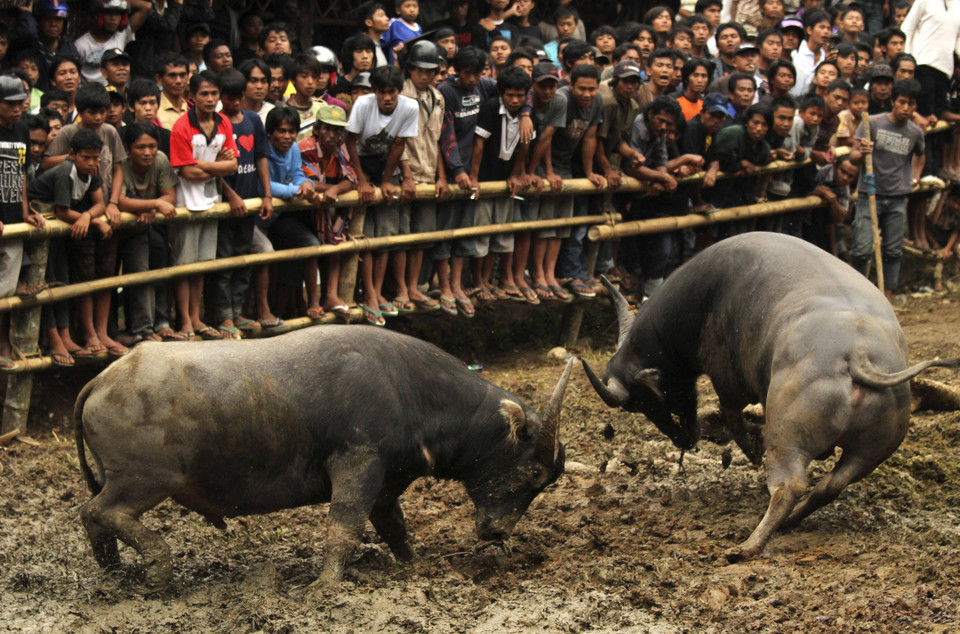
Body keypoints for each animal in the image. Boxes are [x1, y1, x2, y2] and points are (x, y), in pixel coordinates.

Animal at [79, 326, 572, 588]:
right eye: (533, 471)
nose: (497, 532)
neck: (407, 389)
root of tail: (104, 379)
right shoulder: (358, 468)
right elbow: (343, 529)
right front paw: (324, 586)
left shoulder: (385, 487)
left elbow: (395, 529)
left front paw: (412, 565)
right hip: (142, 482)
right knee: (102, 512)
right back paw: (158, 568)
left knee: (93, 518)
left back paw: (113, 572)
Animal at [580, 232, 956, 556]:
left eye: (645, 402)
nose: (682, 441)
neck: (705, 298)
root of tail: (858, 356)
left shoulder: (727, 380)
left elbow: (733, 419)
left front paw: (751, 450)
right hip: (869, 453)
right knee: (830, 485)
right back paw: (790, 521)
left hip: (787, 435)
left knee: (791, 485)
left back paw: (747, 546)